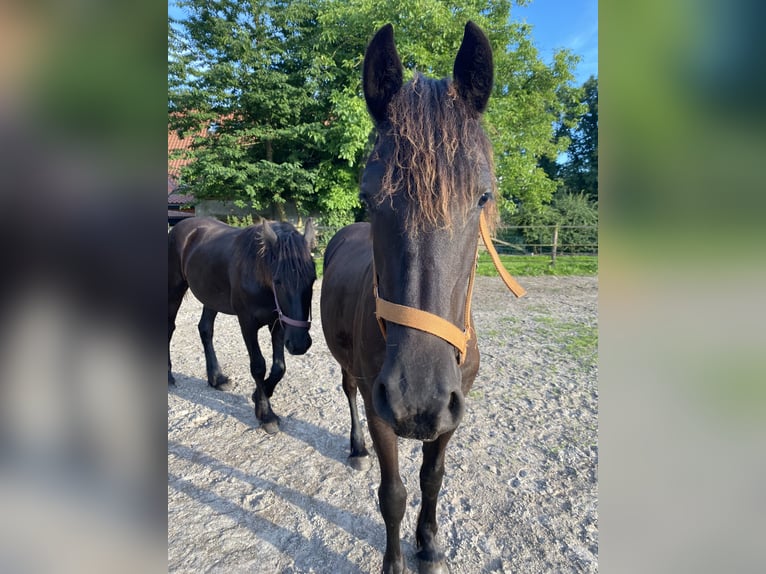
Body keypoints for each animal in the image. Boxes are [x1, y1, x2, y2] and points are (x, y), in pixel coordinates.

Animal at [170, 218, 316, 434]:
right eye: (278, 281)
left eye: (313, 279)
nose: (299, 344)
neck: (257, 271)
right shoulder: (247, 323)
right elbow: (258, 366)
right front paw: (266, 414)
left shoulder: (279, 324)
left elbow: (279, 367)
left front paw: (259, 395)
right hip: (174, 290)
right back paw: (169, 376)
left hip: (211, 298)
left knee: (205, 330)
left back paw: (217, 378)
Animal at [320, 22, 500, 574]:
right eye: (368, 195)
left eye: (482, 197)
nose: (417, 402)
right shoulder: (382, 409)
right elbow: (394, 494)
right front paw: (396, 562)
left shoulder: (452, 412)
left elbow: (432, 479)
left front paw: (430, 546)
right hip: (351, 372)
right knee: (347, 392)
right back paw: (355, 449)